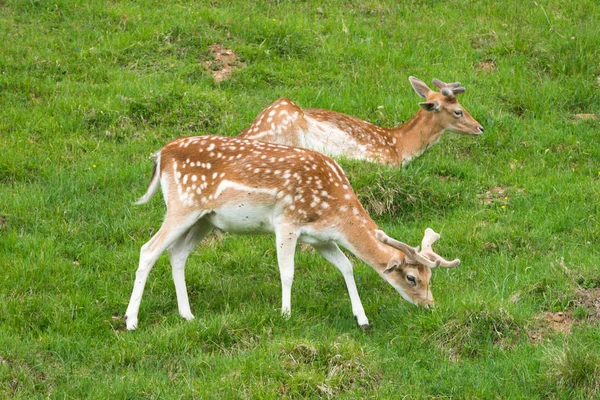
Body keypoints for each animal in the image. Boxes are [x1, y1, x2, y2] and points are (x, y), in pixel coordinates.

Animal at [124, 136, 458, 330]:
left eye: (430, 277)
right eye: (412, 278)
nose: (429, 305)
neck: (334, 211)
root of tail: (160, 155)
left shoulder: (321, 238)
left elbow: (347, 266)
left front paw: (362, 319)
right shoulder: (287, 222)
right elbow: (287, 271)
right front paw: (285, 314)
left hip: (206, 219)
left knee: (176, 253)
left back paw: (187, 315)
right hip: (182, 206)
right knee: (148, 249)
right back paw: (131, 321)